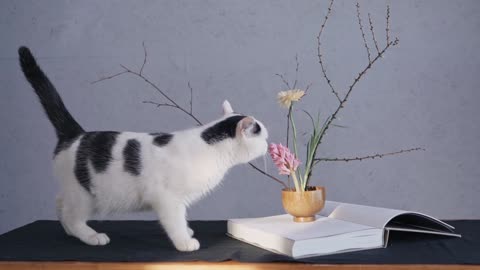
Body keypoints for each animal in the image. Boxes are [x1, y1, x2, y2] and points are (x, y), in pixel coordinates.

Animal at [16, 46, 268, 251]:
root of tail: (76, 134)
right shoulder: (167, 199)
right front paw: (185, 242)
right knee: (72, 216)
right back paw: (91, 236)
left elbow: (183, 219)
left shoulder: (180, 201)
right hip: (85, 194)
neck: (210, 149)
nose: (268, 142)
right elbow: (175, 221)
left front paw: (187, 231)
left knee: (60, 203)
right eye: (262, 135)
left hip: (72, 189)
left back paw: (70, 232)